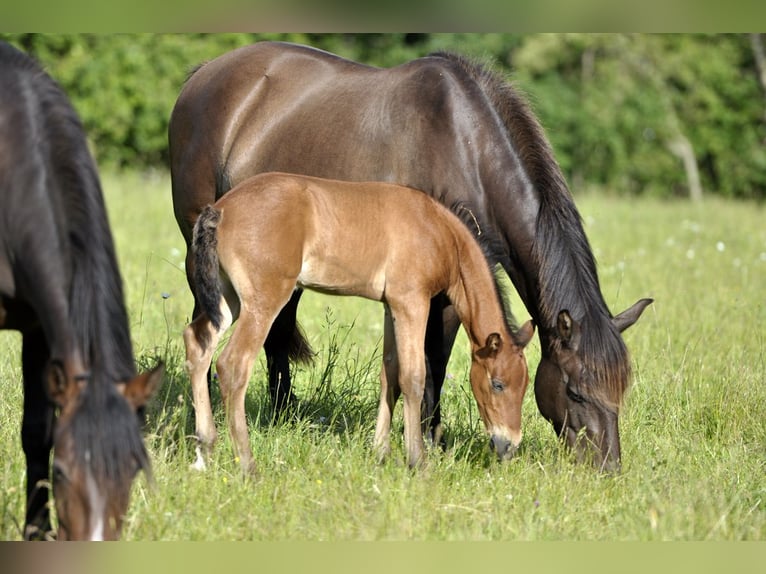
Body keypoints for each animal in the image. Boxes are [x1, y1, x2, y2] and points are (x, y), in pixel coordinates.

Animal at [185, 171, 536, 472]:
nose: (508, 446)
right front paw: (417, 461)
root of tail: (221, 209)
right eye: (498, 384)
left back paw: (204, 451)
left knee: (197, 344)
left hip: (227, 298)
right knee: (232, 365)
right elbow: (413, 377)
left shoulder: (391, 306)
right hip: (264, 300)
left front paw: (380, 452)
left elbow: (389, 374)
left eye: (524, 386)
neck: (439, 230)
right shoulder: (412, 302)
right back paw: (247, 465)